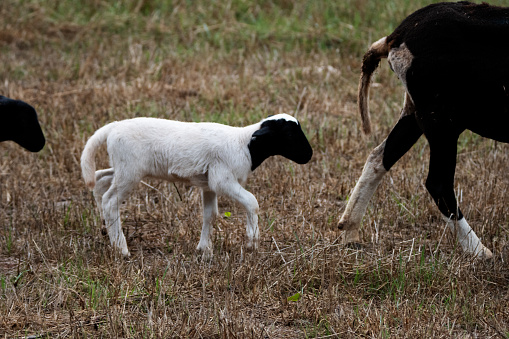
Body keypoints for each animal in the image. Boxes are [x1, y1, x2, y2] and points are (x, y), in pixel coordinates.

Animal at [81, 115, 312, 258]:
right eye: (289, 134)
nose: (309, 155)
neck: (244, 144)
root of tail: (114, 126)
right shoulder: (222, 179)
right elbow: (252, 202)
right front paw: (252, 242)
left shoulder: (209, 184)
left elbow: (210, 214)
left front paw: (204, 249)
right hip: (130, 171)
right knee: (110, 200)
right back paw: (121, 249)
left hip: (123, 168)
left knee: (100, 180)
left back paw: (105, 229)